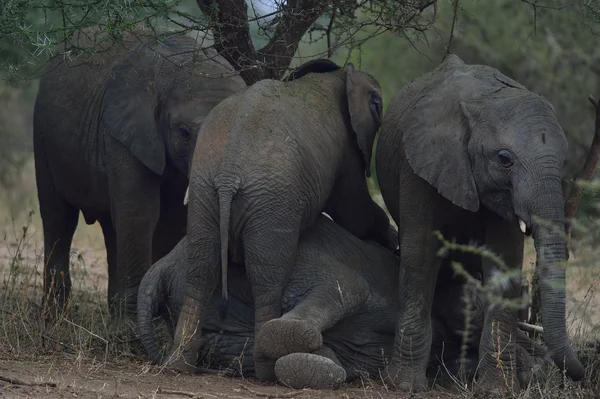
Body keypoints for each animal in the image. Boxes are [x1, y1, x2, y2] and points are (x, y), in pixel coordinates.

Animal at [31, 26, 244, 320]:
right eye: (184, 133)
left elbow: (171, 220)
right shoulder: (124, 133)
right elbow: (139, 212)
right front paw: (135, 325)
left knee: (111, 227)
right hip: (43, 135)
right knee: (59, 217)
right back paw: (55, 318)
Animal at [168, 58, 398, 378]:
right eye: (378, 106)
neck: (337, 75)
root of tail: (227, 176)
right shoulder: (346, 149)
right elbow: (353, 211)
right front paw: (391, 238)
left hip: (204, 193)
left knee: (200, 272)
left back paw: (178, 364)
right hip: (272, 203)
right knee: (267, 281)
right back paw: (266, 373)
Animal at [372, 54, 584, 394]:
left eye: (563, 161)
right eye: (504, 159)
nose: (580, 373)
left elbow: (504, 260)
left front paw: (497, 389)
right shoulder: (418, 165)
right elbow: (420, 256)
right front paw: (404, 386)